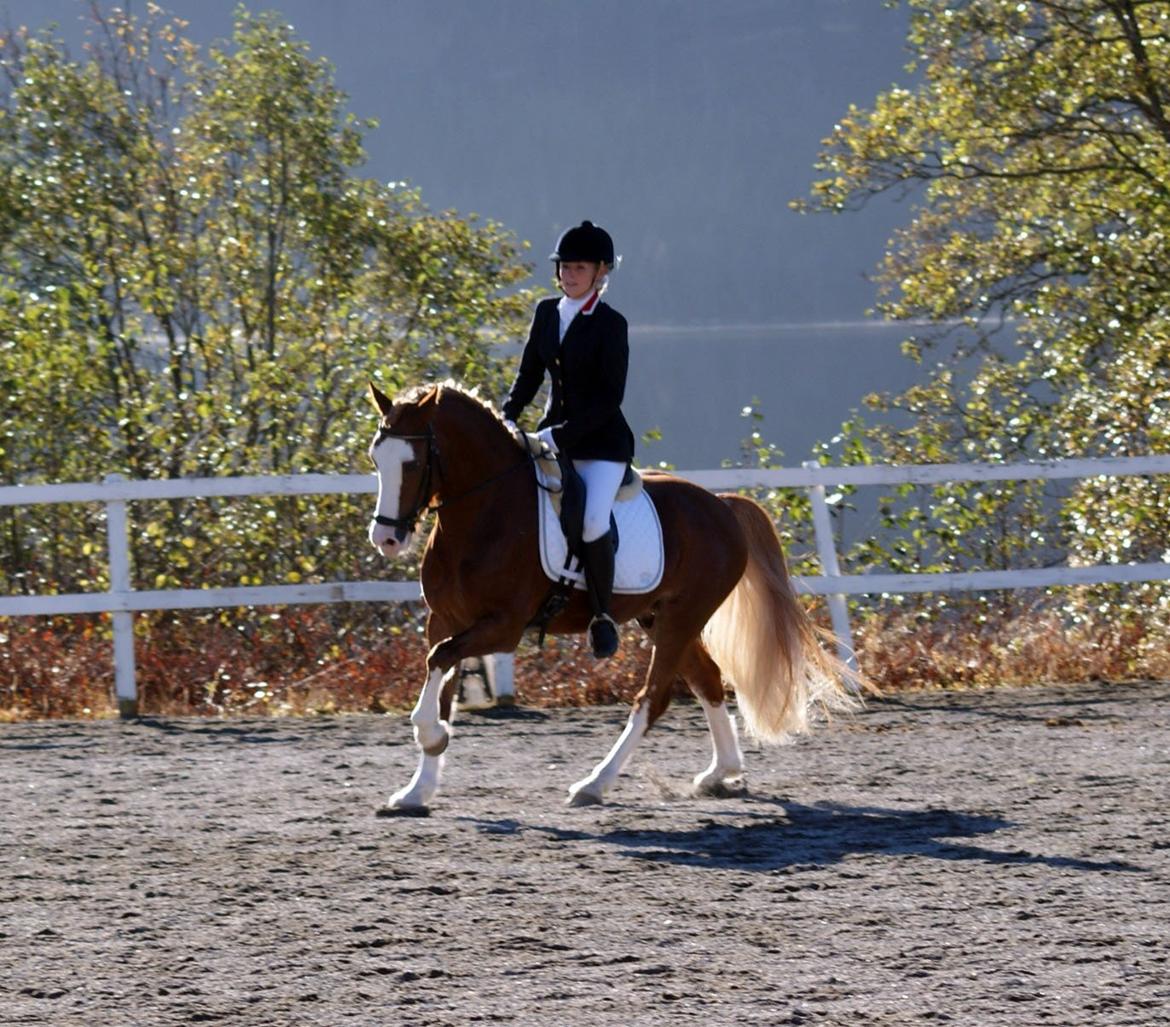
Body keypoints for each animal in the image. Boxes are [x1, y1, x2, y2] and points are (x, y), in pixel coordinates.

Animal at [365, 378, 861, 814]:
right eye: (376, 458)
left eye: (413, 462)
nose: (386, 539)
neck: (485, 513)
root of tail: (721, 504)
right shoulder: (445, 620)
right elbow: (441, 680)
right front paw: (417, 790)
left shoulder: (502, 628)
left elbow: (440, 663)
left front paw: (429, 735)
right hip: (660, 618)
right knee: (707, 679)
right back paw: (720, 773)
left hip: (683, 616)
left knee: (653, 698)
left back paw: (594, 784)